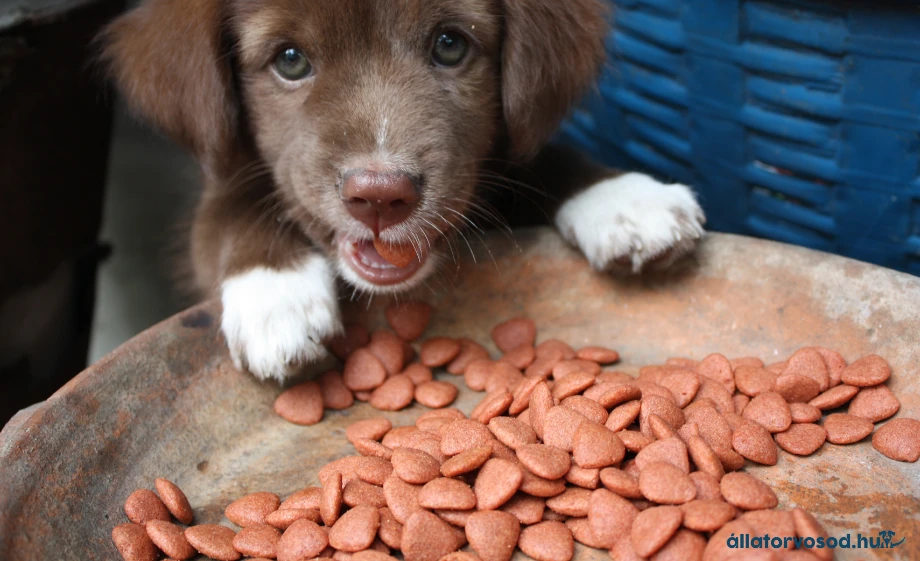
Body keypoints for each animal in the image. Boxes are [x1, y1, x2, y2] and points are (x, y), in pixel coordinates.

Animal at [100, 0, 704, 380]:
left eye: (450, 44)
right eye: (290, 59)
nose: (380, 196)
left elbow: (538, 157)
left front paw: (627, 200)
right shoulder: (220, 179)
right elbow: (231, 207)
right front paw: (276, 296)